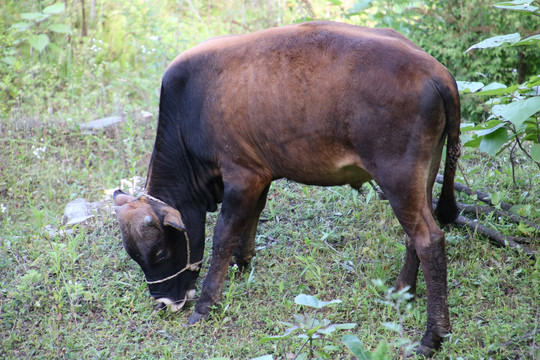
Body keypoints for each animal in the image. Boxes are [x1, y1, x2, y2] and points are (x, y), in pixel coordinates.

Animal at [114, 20, 460, 358]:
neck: (192, 107)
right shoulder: (259, 174)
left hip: (398, 179)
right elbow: (252, 219)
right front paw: (243, 263)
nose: (163, 303)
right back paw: (402, 291)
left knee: (429, 240)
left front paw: (205, 304)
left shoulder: (241, 175)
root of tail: (435, 70)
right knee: (414, 236)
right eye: (136, 257)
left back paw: (432, 336)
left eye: (159, 252)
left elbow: (223, 236)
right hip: (422, 177)